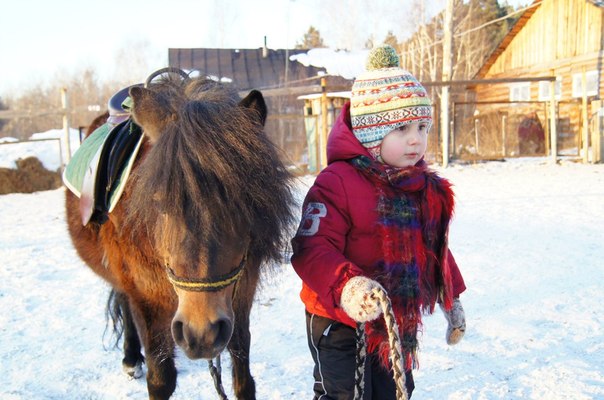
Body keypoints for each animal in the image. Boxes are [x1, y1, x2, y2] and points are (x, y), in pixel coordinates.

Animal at [63, 70, 294, 398]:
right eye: (158, 201)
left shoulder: (241, 294)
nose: (202, 333)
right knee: (123, 301)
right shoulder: (146, 300)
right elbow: (161, 379)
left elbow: (242, 379)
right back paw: (131, 358)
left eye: (243, 201)